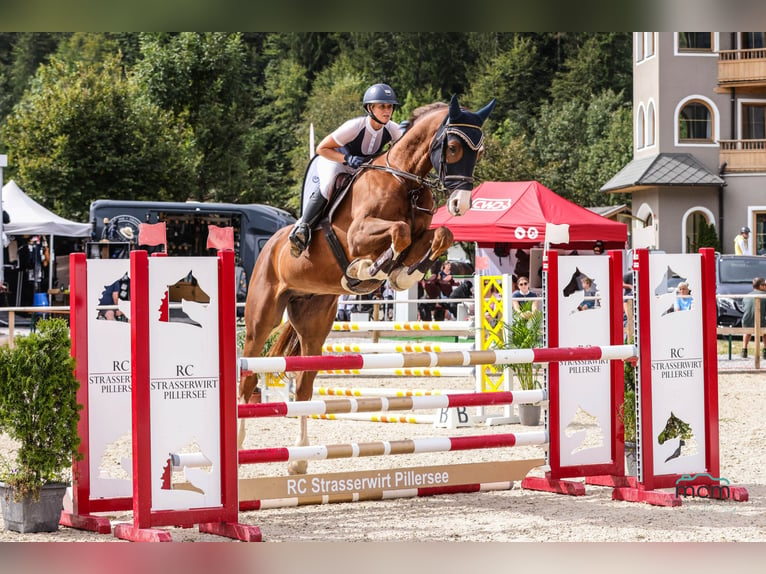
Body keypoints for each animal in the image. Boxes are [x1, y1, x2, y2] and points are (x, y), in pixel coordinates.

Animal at [238, 95, 498, 472]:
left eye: (479, 150)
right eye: (451, 147)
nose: (460, 204)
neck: (406, 181)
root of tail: (270, 246)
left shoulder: (424, 233)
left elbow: (440, 235)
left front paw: (402, 272)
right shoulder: (359, 234)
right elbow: (398, 232)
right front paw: (367, 268)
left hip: (314, 323)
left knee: (303, 388)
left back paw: (299, 460)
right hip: (262, 317)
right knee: (248, 375)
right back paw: (239, 443)